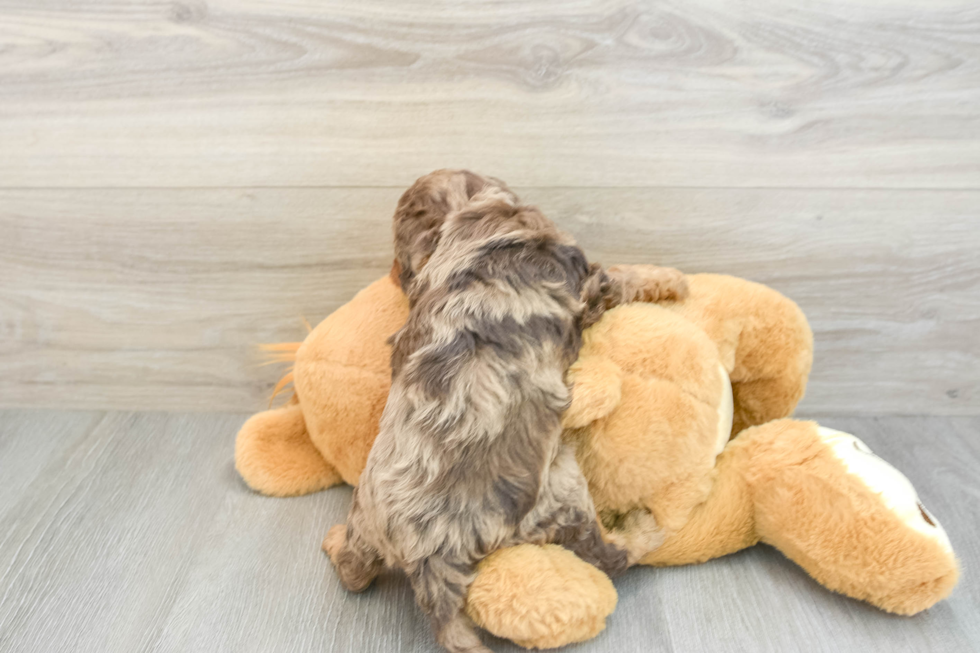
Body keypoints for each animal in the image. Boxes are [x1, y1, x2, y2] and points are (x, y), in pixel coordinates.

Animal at [326, 171, 684, 648]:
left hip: (365, 519)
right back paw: (643, 529)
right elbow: (625, 276)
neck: (470, 214)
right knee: (609, 555)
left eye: (404, 259)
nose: (394, 275)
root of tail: (426, 561)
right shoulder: (586, 279)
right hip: (560, 491)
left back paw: (334, 543)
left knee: (354, 571)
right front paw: (674, 278)